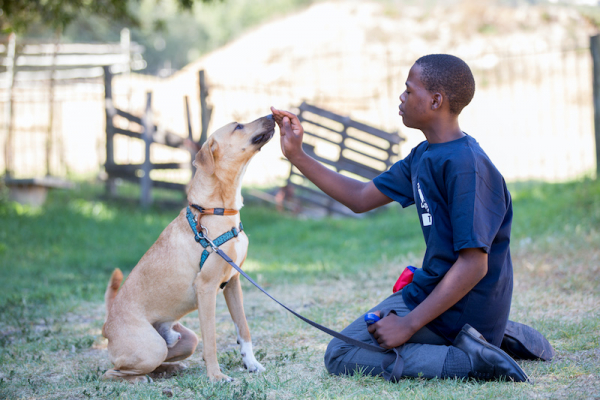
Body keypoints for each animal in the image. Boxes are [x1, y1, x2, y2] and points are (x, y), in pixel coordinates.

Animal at [102, 114, 276, 382]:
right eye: (238, 126)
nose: (271, 115)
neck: (217, 210)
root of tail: (107, 325)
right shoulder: (206, 288)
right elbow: (212, 340)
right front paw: (216, 377)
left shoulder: (233, 282)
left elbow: (243, 328)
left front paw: (251, 363)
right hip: (151, 347)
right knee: (112, 372)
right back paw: (140, 378)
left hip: (186, 340)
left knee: (158, 361)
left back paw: (171, 369)